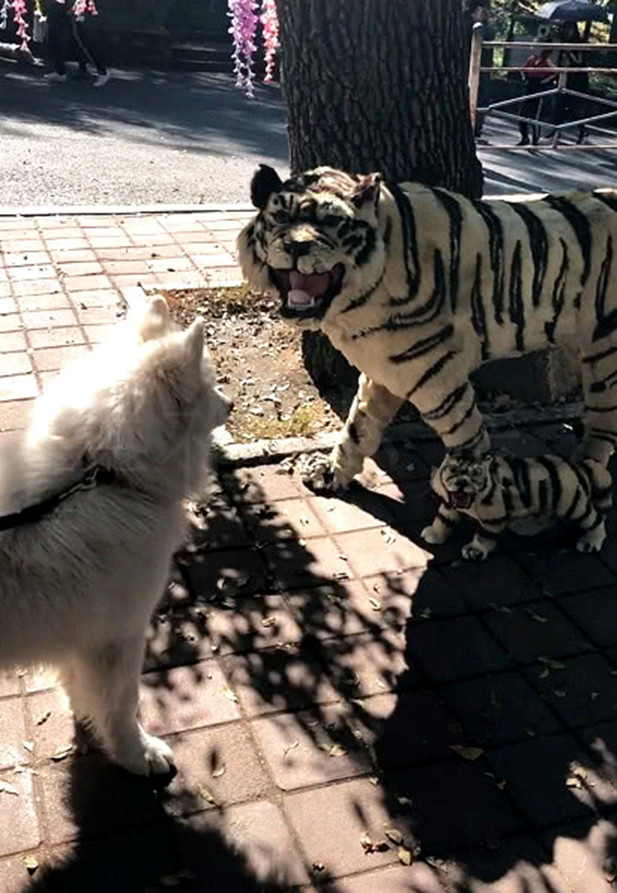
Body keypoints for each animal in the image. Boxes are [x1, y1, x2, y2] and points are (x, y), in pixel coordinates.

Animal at [0, 298, 231, 772]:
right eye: (211, 383)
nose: (232, 403)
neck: (108, 474)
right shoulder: (118, 636)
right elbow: (122, 704)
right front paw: (137, 754)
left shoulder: (86, 643)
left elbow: (81, 688)